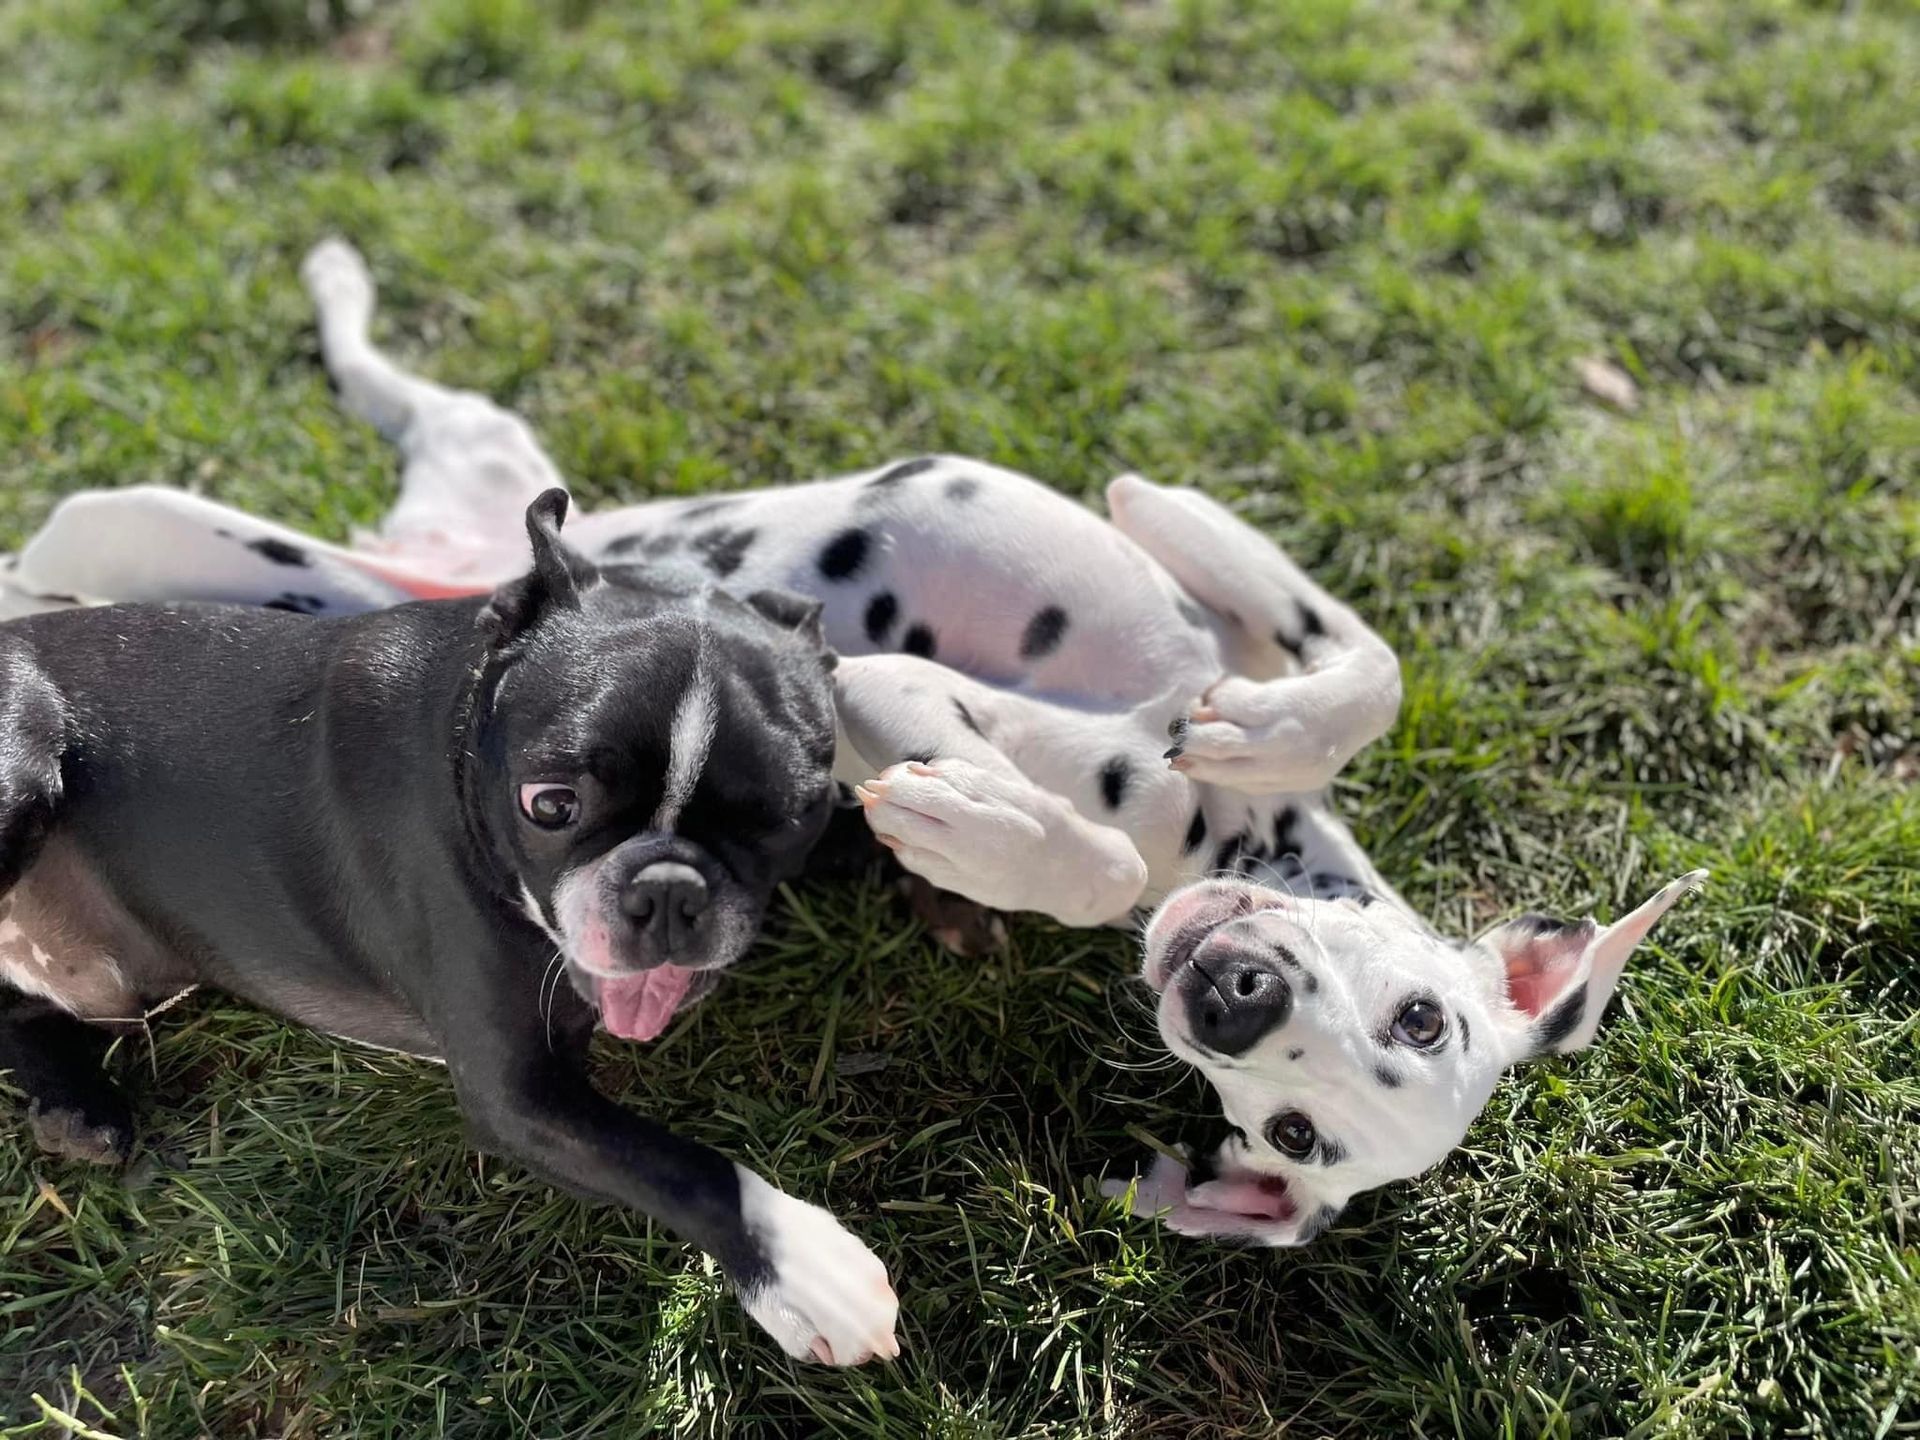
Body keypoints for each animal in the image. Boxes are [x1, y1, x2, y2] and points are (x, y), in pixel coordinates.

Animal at [0, 503, 898, 1367]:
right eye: (551, 805)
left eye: (784, 817)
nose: (669, 891)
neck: (468, 731)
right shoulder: (518, 1096)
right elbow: (676, 1164)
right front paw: (804, 1269)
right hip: (23, 759)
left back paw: (74, 1106)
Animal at [3, 242, 1712, 1267]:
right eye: (1425, 1013)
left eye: (1296, 1135)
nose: (1232, 997)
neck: (1209, 834)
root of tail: (425, 561)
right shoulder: (1190, 585)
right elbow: (1357, 656)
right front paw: (1256, 722)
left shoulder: (882, 692)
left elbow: (1084, 857)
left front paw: (980, 853)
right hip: (407, 470)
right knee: (296, 402)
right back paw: (335, 271)